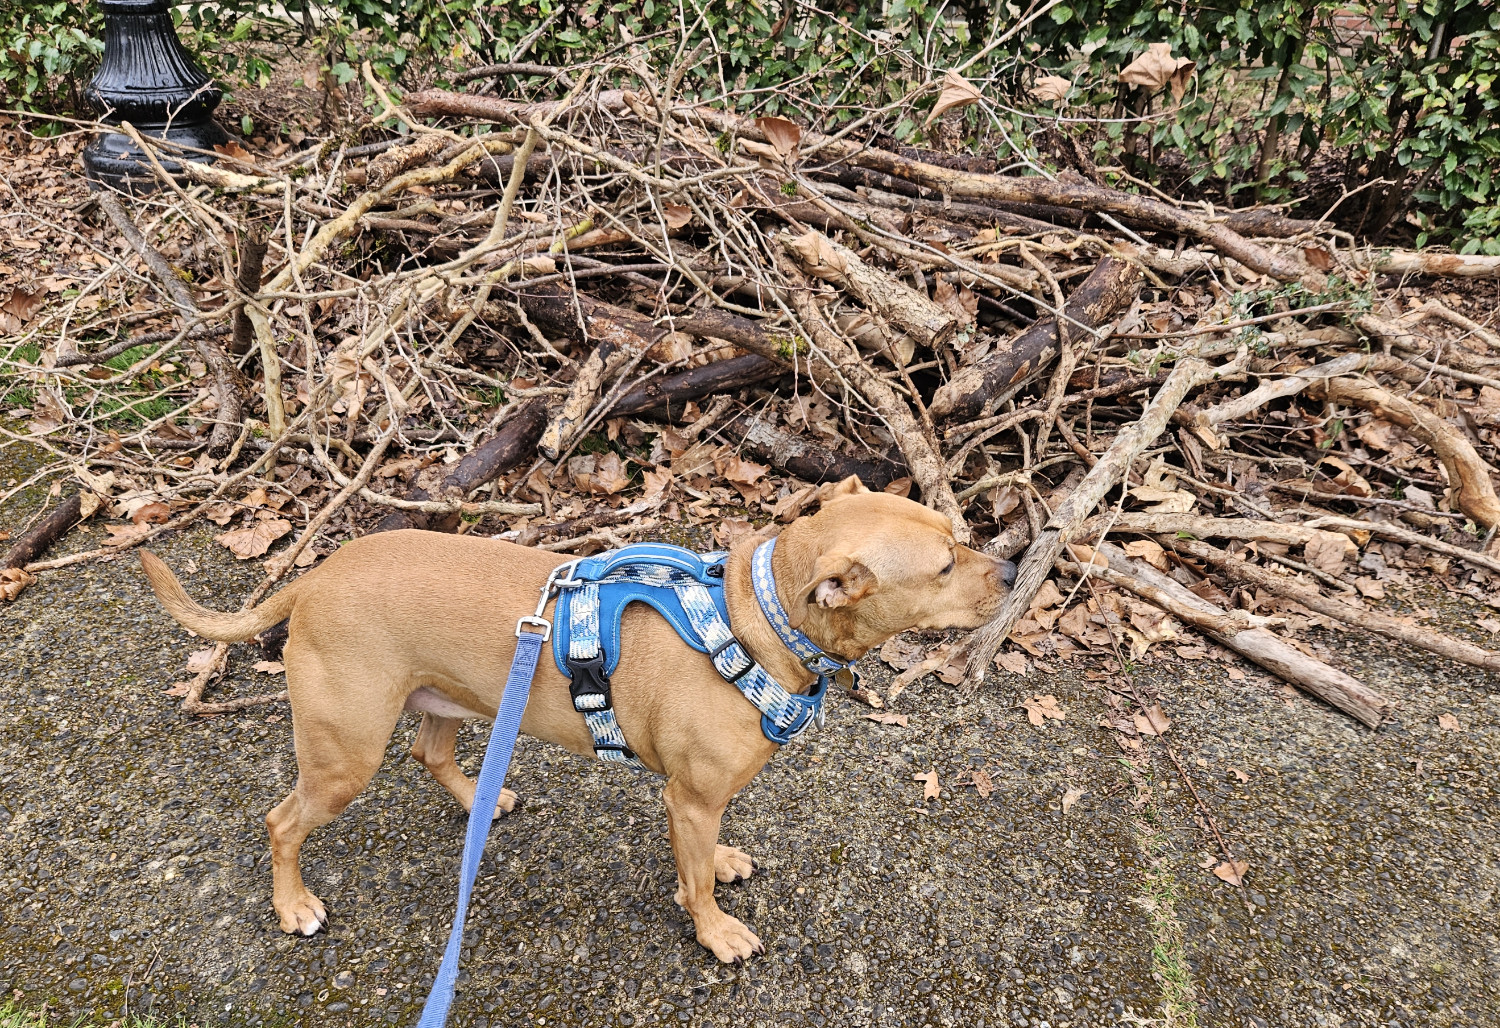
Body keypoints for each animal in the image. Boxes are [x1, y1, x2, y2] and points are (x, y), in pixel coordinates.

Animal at [141, 477, 1008, 960]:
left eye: (958, 538)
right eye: (942, 568)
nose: (1011, 569)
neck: (755, 620)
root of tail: (313, 577)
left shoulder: (702, 802)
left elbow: (706, 857)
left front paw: (723, 863)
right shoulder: (690, 798)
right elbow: (694, 881)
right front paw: (714, 930)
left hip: (455, 702)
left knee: (430, 755)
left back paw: (482, 802)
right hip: (342, 757)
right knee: (282, 822)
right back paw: (292, 905)